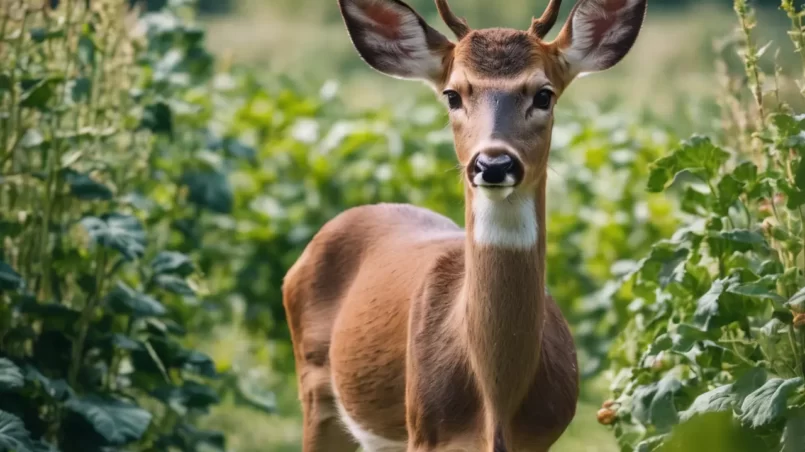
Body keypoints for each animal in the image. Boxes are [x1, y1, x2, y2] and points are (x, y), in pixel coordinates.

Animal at [282, 0, 648, 450]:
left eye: (544, 94)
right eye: (452, 94)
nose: (493, 163)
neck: (495, 409)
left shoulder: (542, 438)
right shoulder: (424, 434)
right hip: (316, 390)